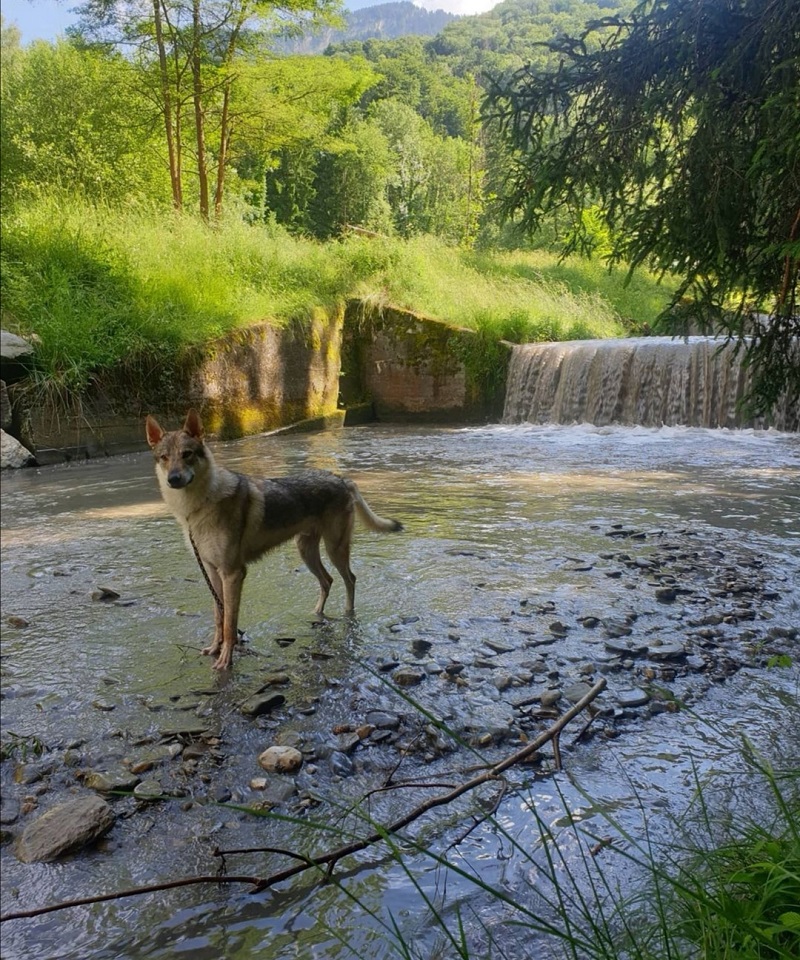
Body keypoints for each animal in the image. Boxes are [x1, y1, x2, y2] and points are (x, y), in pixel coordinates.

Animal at [145, 408, 404, 672]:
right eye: (164, 457)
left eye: (186, 454)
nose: (173, 479)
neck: (198, 506)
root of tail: (340, 478)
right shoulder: (212, 571)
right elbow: (219, 616)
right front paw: (214, 649)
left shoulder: (233, 573)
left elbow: (230, 623)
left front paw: (226, 659)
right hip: (306, 551)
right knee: (328, 580)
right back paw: (317, 613)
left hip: (335, 549)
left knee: (350, 579)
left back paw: (348, 614)